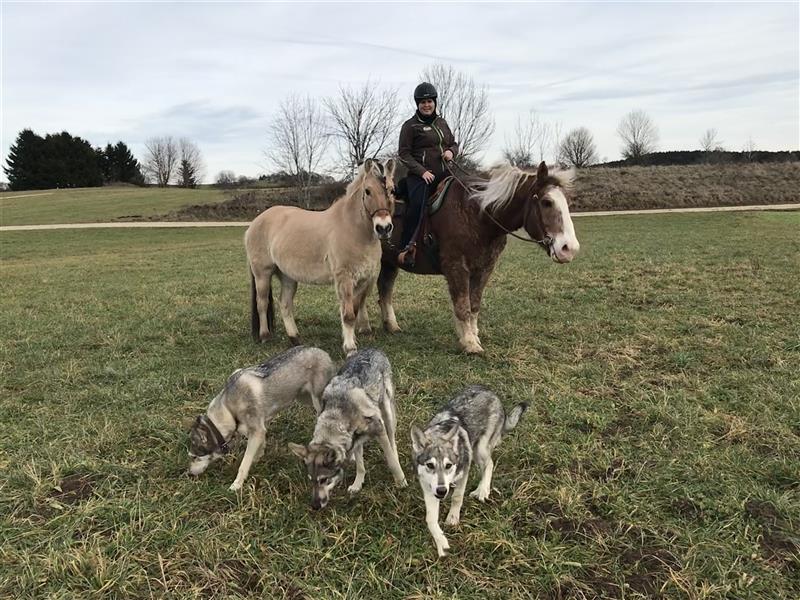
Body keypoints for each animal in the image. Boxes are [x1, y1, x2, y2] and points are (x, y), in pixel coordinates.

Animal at [244, 161, 394, 356]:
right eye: (367, 191)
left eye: (392, 190)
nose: (384, 228)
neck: (354, 229)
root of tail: (254, 223)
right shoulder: (344, 279)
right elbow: (348, 315)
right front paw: (350, 348)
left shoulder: (362, 280)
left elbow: (354, 311)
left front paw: (352, 341)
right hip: (262, 274)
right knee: (261, 303)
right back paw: (265, 336)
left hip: (288, 277)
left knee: (285, 304)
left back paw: (295, 339)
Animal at [378, 162, 580, 354]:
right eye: (546, 202)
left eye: (567, 201)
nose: (569, 249)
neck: (477, 215)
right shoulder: (456, 267)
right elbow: (462, 306)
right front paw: (469, 344)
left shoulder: (484, 268)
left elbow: (474, 305)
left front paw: (473, 335)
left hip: (388, 263)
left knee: (385, 291)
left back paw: (391, 326)